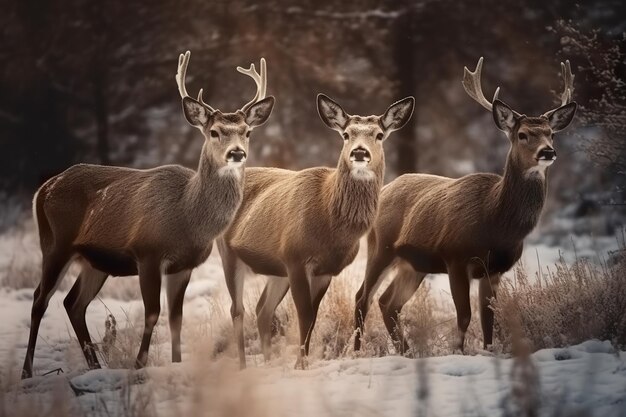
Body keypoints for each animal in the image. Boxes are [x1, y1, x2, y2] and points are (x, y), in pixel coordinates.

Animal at [20, 52, 274, 376]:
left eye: (247, 132)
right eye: (214, 132)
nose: (237, 153)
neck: (187, 216)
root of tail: (43, 189)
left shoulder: (183, 265)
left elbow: (176, 318)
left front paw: (176, 363)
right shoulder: (148, 253)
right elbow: (153, 312)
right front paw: (139, 364)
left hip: (95, 261)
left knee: (72, 303)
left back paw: (95, 366)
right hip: (54, 243)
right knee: (40, 299)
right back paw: (27, 372)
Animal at [352, 57, 576, 354]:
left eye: (551, 134)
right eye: (523, 134)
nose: (548, 151)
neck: (496, 222)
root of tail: (384, 188)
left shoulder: (494, 269)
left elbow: (489, 318)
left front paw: (489, 351)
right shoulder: (455, 256)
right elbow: (464, 315)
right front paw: (457, 352)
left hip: (414, 264)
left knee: (388, 303)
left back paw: (407, 352)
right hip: (381, 247)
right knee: (362, 297)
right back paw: (357, 351)